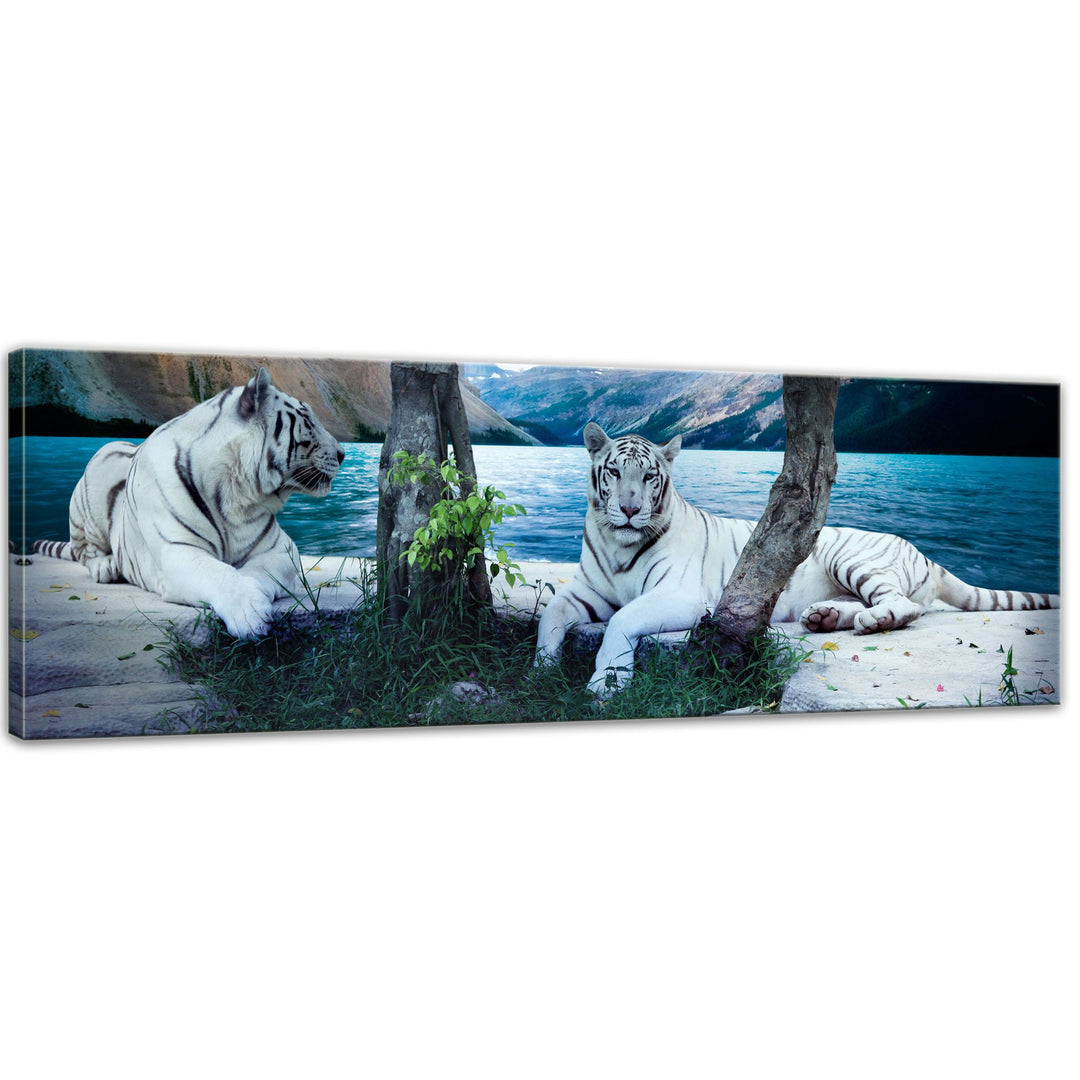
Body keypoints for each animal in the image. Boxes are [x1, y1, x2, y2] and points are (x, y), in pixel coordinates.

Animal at [33, 368, 345, 639]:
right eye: (308, 419)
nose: (343, 454)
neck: (237, 492)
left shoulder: (282, 548)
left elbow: (255, 572)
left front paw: (255, 597)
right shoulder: (178, 551)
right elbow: (220, 573)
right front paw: (250, 614)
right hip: (100, 468)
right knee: (84, 551)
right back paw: (106, 567)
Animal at [535, 422, 1059, 697]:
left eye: (648, 478)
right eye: (614, 472)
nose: (628, 509)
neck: (618, 543)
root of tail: (923, 553)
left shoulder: (681, 596)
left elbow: (623, 620)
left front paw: (604, 685)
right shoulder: (585, 592)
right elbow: (550, 616)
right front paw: (541, 669)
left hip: (851, 558)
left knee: (905, 606)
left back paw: (871, 621)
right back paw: (824, 617)